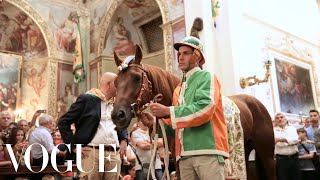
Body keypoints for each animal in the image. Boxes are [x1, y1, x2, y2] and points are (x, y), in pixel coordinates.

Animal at [110, 45, 276, 180]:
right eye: (115, 82)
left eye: (137, 78)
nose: (117, 115)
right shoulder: (178, 161)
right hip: (245, 151)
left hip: (267, 153)